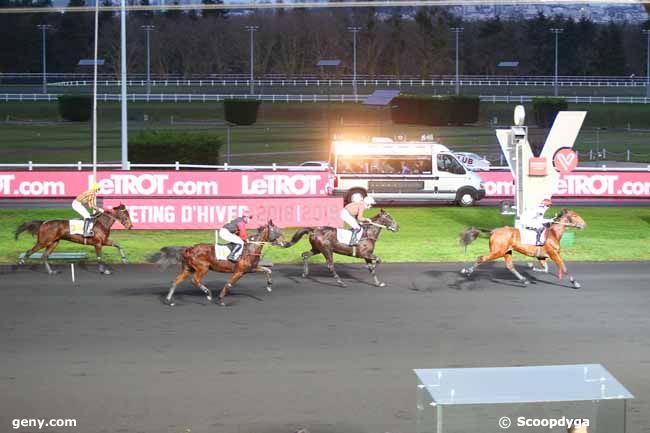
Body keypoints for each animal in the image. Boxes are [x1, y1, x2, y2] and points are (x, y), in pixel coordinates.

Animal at [152, 219, 286, 308]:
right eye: (277, 231)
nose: (285, 243)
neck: (251, 248)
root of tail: (189, 248)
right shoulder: (239, 271)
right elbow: (229, 284)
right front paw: (221, 300)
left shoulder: (250, 269)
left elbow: (268, 270)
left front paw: (269, 286)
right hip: (202, 267)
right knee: (194, 280)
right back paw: (208, 293)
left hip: (188, 268)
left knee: (176, 281)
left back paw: (169, 301)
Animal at [456, 208, 588, 288]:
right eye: (575, 216)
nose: (584, 224)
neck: (553, 234)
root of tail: (494, 231)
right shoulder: (554, 253)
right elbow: (564, 268)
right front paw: (575, 283)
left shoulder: (541, 256)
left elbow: (545, 269)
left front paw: (531, 267)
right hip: (497, 251)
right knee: (481, 258)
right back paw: (467, 271)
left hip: (507, 251)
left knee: (510, 266)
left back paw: (524, 279)